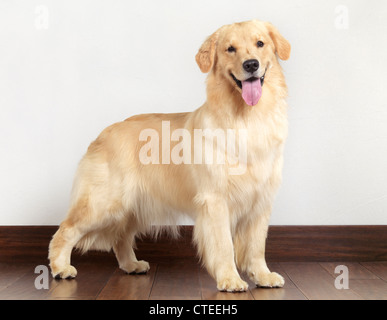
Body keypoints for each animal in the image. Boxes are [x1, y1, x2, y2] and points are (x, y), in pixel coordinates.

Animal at [48, 18, 292, 292]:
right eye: (230, 49)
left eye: (260, 43)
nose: (251, 64)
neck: (248, 117)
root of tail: (102, 134)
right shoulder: (215, 200)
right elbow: (224, 245)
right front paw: (230, 279)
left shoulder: (260, 201)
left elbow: (256, 247)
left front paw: (263, 275)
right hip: (104, 202)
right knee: (66, 230)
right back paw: (61, 268)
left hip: (131, 206)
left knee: (121, 237)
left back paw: (132, 265)